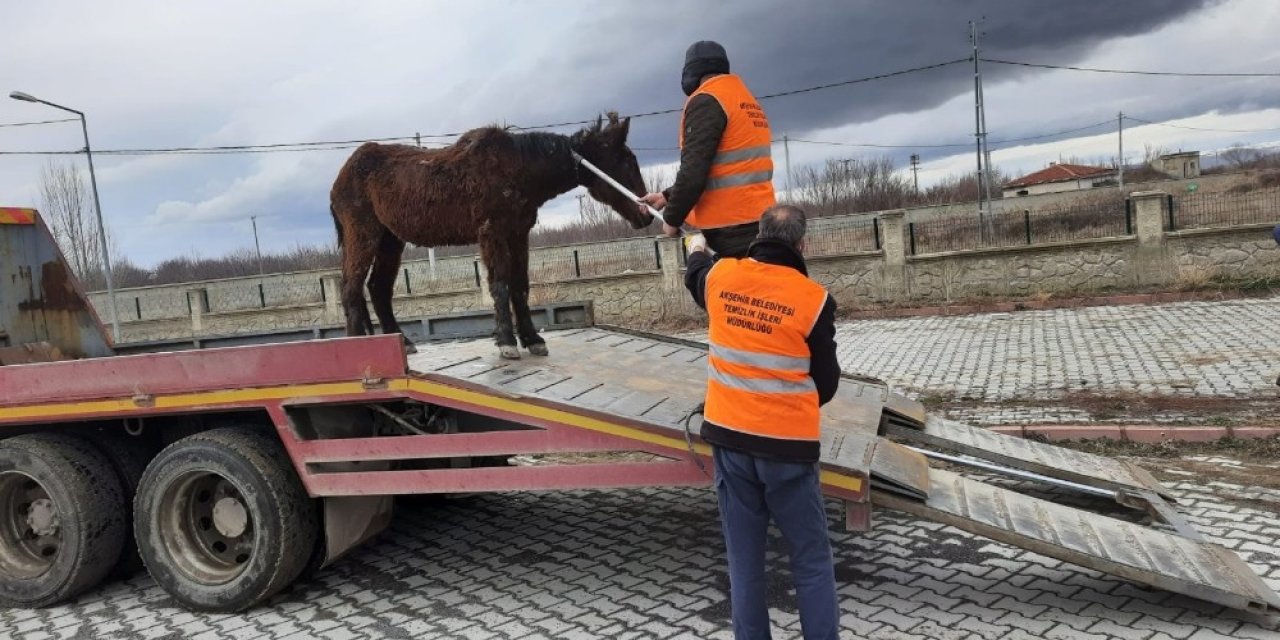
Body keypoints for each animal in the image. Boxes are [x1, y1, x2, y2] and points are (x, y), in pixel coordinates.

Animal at [330, 112, 650, 358]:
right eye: (626, 162)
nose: (647, 215)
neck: (520, 169)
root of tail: (339, 179)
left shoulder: (518, 234)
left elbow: (520, 286)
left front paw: (532, 339)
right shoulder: (492, 232)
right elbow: (500, 284)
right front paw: (507, 342)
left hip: (390, 240)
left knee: (377, 288)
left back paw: (401, 342)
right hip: (364, 234)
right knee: (351, 289)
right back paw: (357, 347)